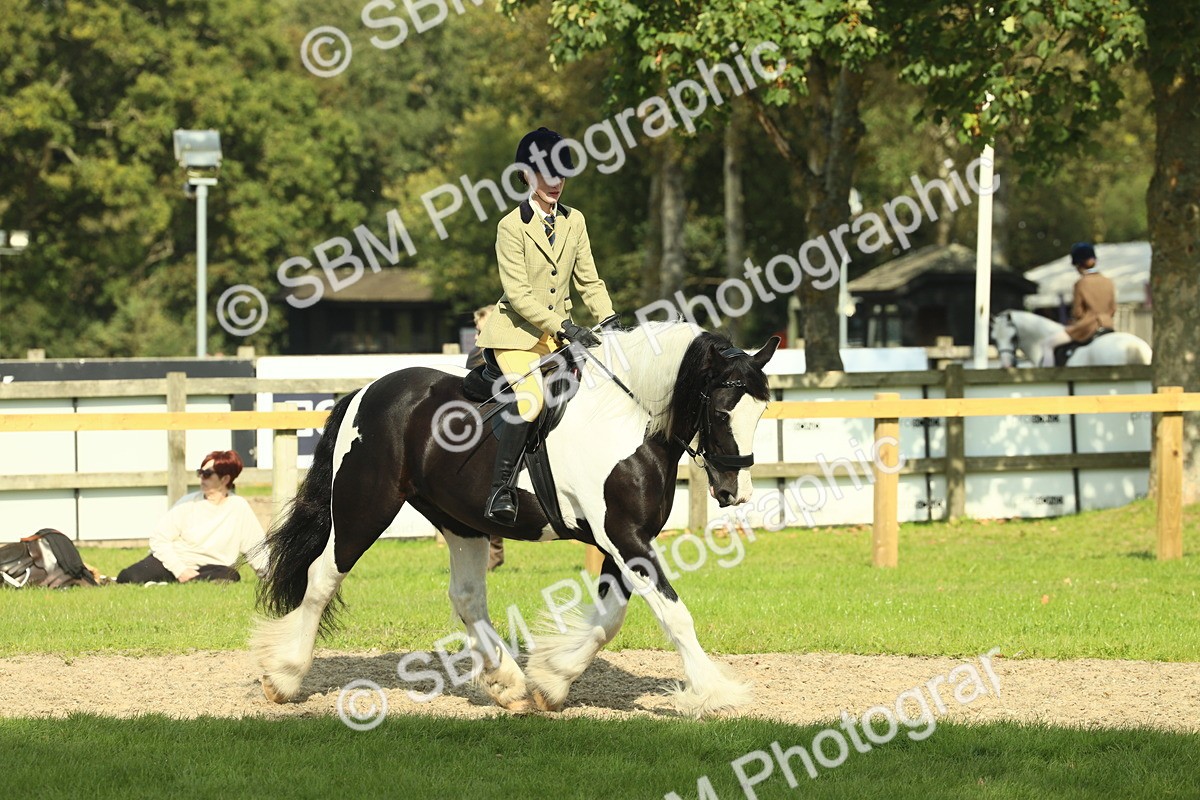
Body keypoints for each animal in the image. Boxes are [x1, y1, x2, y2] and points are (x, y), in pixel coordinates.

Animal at [252, 321, 780, 717]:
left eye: (761, 410)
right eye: (721, 410)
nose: (735, 492)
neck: (630, 419)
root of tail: (366, 391)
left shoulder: (625, 539)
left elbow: (608, 619)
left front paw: (552, 680)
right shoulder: (625, 537)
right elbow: (674, 615)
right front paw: (716, 692)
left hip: (460, 520)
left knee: (467, 597)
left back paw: (508, 684)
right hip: (365, 507)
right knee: (322, 578)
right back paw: (284, 677)